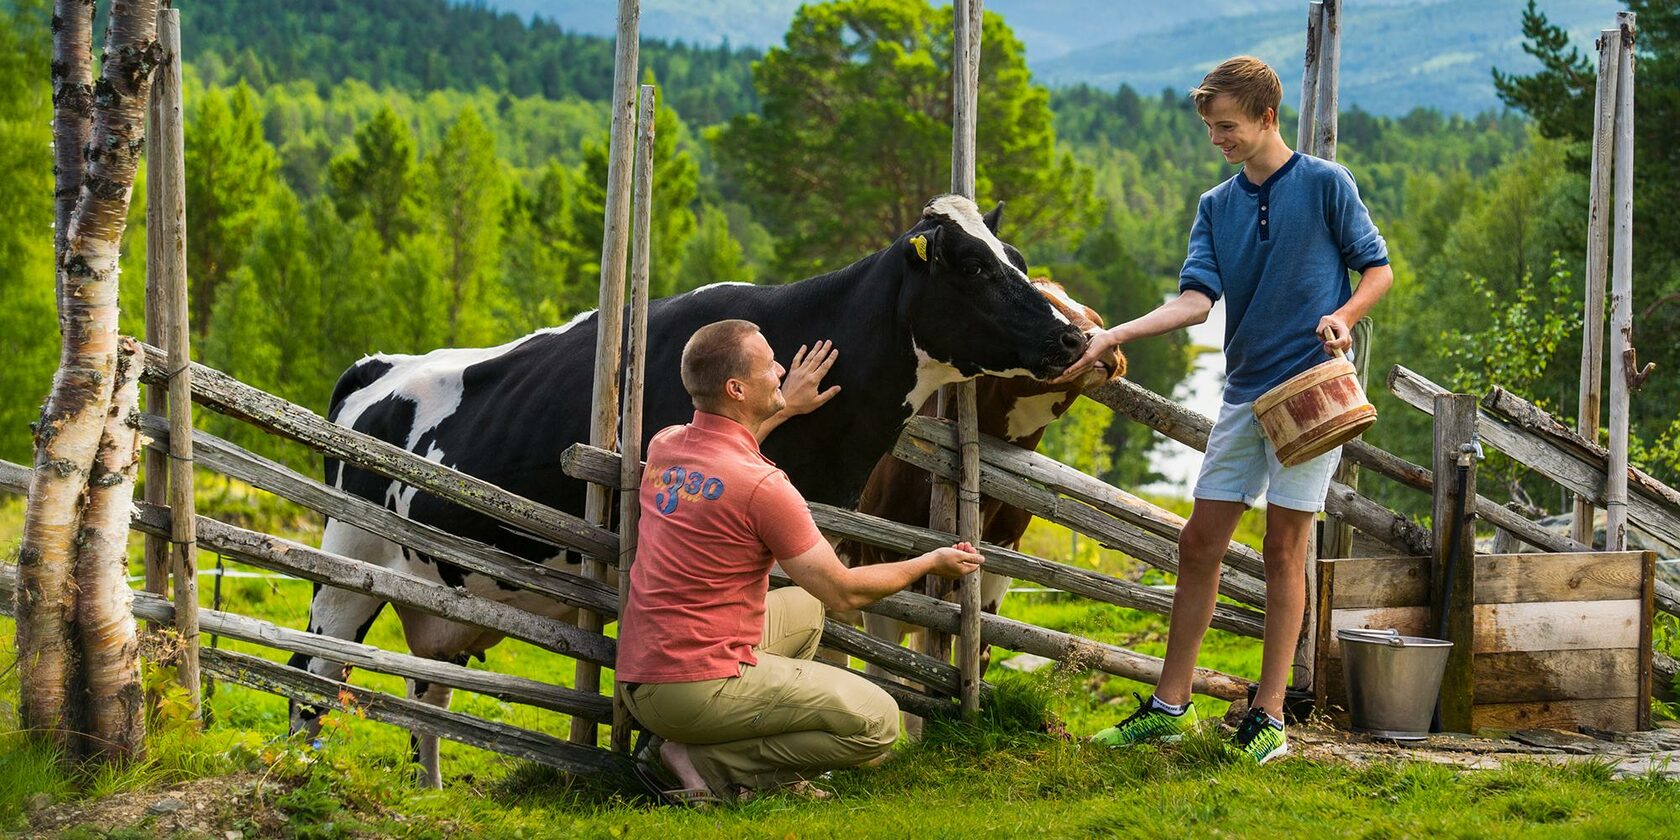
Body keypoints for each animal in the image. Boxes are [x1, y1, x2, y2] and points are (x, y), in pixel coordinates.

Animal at [288, 193, 1081, 782]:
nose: (1072, 338)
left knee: (426, 692)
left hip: (439, 595)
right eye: (972, 266)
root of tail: (376, 366)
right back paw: (301, 772)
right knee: (312, 673)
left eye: (1019, 260)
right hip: (349, 561)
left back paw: (428, 788)